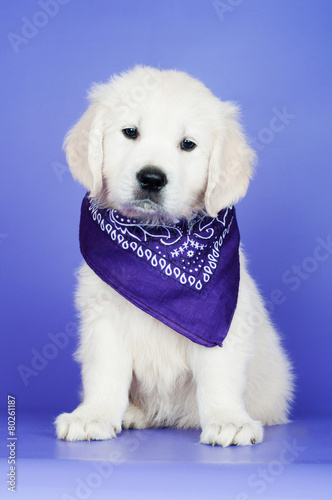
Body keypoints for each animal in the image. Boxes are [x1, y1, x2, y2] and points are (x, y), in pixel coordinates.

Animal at [54, 65, 294, 446]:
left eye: (188, 144)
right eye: (130, 132)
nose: (151, 178)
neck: (158, 238)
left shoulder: (223, 320)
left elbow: (219, 374)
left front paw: (228, 419)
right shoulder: (104, 317)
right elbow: (105, 371)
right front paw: (93, 416)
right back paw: (134, 413)